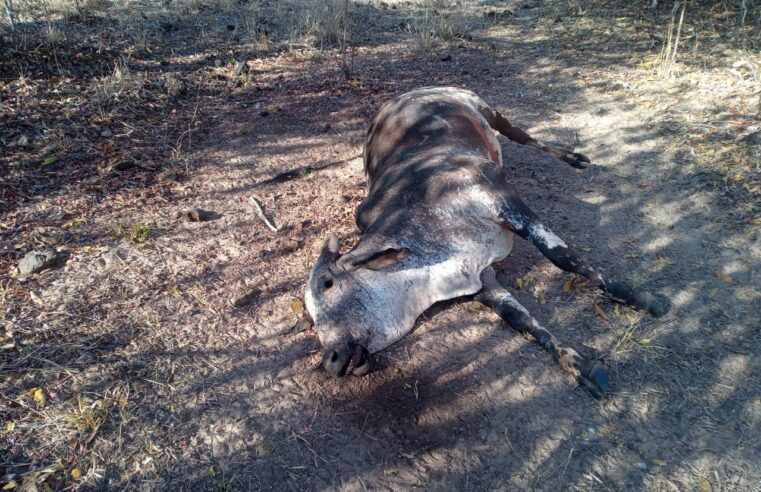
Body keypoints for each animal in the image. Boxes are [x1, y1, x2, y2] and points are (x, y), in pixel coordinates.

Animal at [304, 86, 672, 398]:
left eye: (328, 283)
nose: (331, 359)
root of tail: (405, 94)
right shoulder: (482, 280)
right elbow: (523, 322)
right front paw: (577, 365)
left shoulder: (502, 199)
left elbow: (564, 258)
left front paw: (639, 296)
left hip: (489, 111)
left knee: (524, 137)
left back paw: (573, 157)